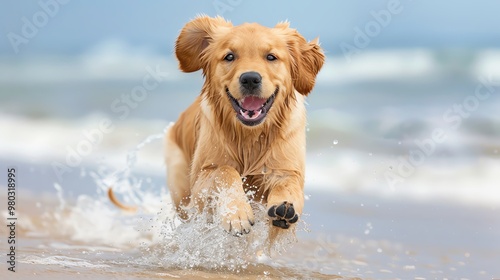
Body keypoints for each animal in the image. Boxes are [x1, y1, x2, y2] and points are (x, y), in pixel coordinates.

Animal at [109, 15, 324, 238]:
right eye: (229, 56)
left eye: (271, 57)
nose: (250, 79)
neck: (249, 136)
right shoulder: (200, 182)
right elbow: (225, 170)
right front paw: (236, 213)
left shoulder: (287, 168)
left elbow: (288, 182)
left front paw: (284, 205)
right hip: (181, 188)